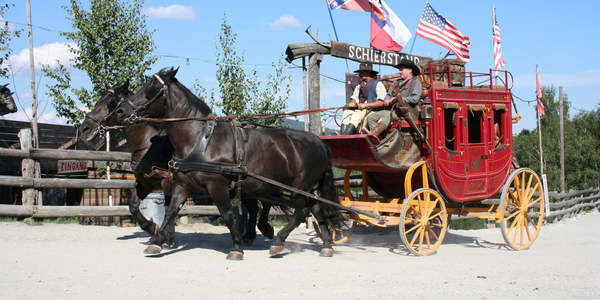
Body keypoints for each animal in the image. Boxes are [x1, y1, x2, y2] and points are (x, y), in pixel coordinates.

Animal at [79, 81, 274, 252]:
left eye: (109, 103)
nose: (84, 128)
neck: (149, 145)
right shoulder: (146, 182)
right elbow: (134, 205)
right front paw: (155, 230)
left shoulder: (167, 181)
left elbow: (167, 208)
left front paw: (164, 237)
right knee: (255, 206)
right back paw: (250, 235)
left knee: (264, 202)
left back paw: (264, 229)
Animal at [113, 67, 342, 258]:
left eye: (150, 88)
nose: (122, 111)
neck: (200, 140)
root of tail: (319, 142)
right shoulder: (181, 185)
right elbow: (170, 212)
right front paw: (158, 241)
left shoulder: (218, 186)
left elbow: (227, 214)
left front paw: (236, 247)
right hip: (307, 188)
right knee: (317, 209)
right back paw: (326, 245)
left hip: (301, 186)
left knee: (301, 211)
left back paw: (278, 240)